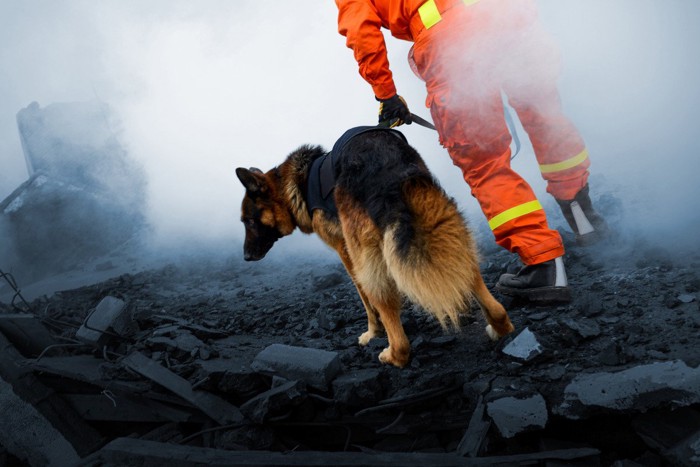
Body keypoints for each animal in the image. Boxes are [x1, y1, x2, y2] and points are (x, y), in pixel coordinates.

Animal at [237, 129, 516, 370]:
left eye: (248, 221)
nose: (246, 257)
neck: (294, 186)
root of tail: (387, 169)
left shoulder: (346, 251)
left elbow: (365, 299)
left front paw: (373, 332)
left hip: (368, 256)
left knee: (393, 325)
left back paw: (393, 354)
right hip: (442, 223)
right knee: (480, 287)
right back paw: (499, 326)